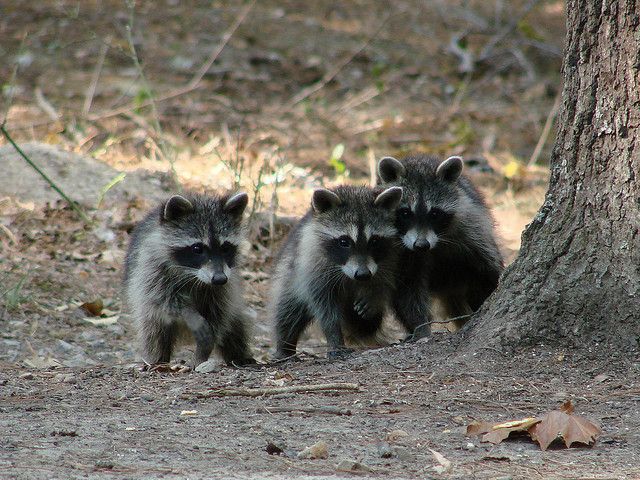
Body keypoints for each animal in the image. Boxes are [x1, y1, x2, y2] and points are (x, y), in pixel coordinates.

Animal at [124, 192, 255, 367]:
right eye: (197, 248)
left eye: (226, 248)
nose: (219, 279)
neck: (193, 275)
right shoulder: (150, 268)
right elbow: (163, 298)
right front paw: (190, 315)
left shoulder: (226, 284)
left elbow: (218, 314)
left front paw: (202, 352)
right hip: (146, 307)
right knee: (153, 329)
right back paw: (157, 359)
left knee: (235, 327)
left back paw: (238, 355)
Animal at [271, 185, 403, 359]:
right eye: (344, 242)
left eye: (374, 241)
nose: (363, 274)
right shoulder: (312, 264)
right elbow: (325, 309)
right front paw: (334, 339)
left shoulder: (389, 256)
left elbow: (386, 281)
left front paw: (375, 294)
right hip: (290, 273)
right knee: (288, 310)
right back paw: (285, 346)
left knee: (367, 325)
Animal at [378, 154, 504, 337]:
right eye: (405, 213)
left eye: (435, 213)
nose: (421, 245)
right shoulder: (399, 251)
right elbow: (407, 290)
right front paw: (421, 328)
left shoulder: (473, 227)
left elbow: (487, 270)